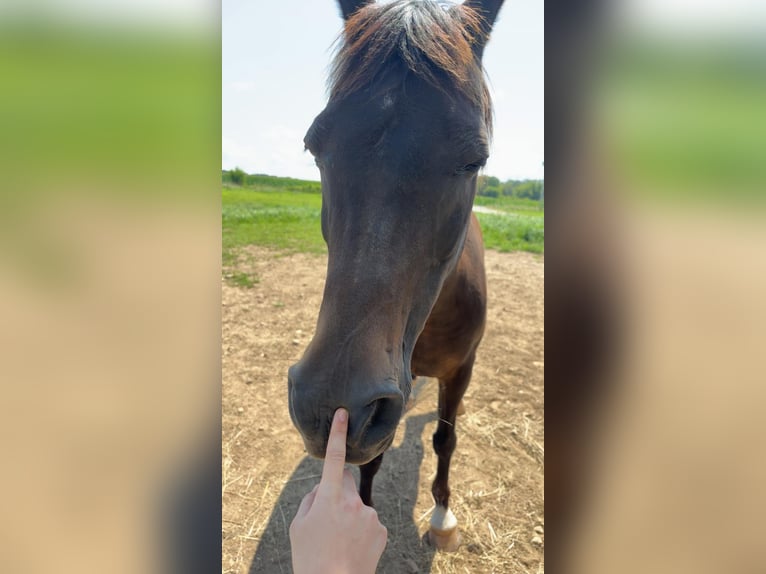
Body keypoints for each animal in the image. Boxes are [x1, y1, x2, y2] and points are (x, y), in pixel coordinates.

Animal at [286, 0, 504, 552]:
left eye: (475, 159)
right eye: (314, 146)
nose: (331, 403)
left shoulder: (461, 370)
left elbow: (445, 437)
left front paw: (442, 516)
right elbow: (374, 459)